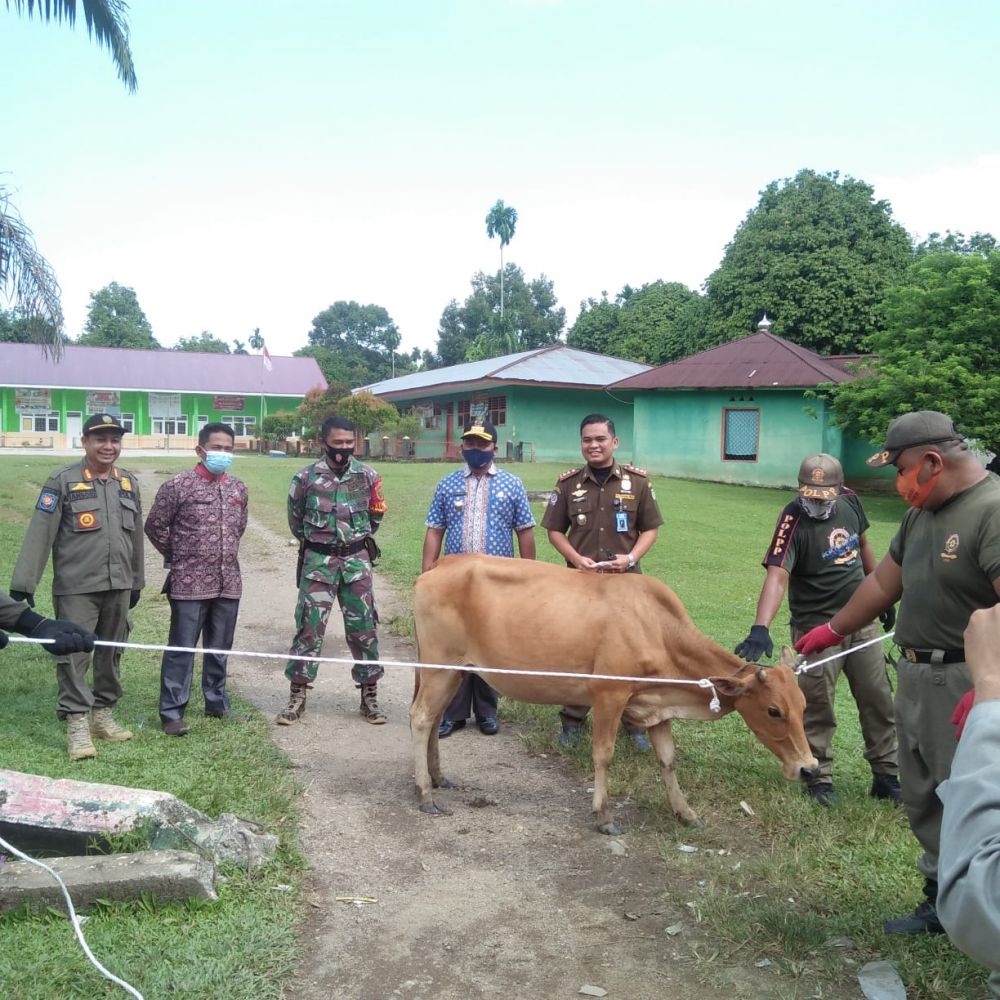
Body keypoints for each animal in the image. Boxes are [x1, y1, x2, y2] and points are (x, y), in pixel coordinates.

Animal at [410, 556, 816, 836]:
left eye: (803, 705)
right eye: (774, 710)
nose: (809, 768)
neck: (658, 628)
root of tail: (441, 563)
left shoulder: (657, 707)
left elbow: (667, 760)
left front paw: (685, 812)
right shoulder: (609, 693)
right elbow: (603, 754)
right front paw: (604, 816)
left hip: (454, 671)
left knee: (435, 718)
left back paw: (438, 777)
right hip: (440, 666)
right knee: (421, 717)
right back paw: (426, 793)